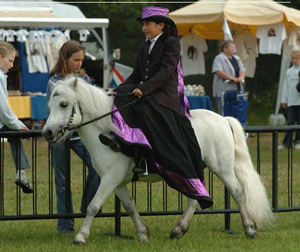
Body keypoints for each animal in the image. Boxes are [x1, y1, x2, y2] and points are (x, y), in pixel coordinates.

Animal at [42, 78, 274, 245]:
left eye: (64, 104)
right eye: (49, 105)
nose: (47, 133)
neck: (107, 130)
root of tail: (223, 119)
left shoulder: (109, 179)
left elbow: (93, 206)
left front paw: (80, 237)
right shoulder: (118, 182)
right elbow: (130, 207)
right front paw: (143, 234)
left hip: (222, 168)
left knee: (237, 191)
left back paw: (249, 229)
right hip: (195, 170)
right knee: (195, 199)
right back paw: (178, 230)